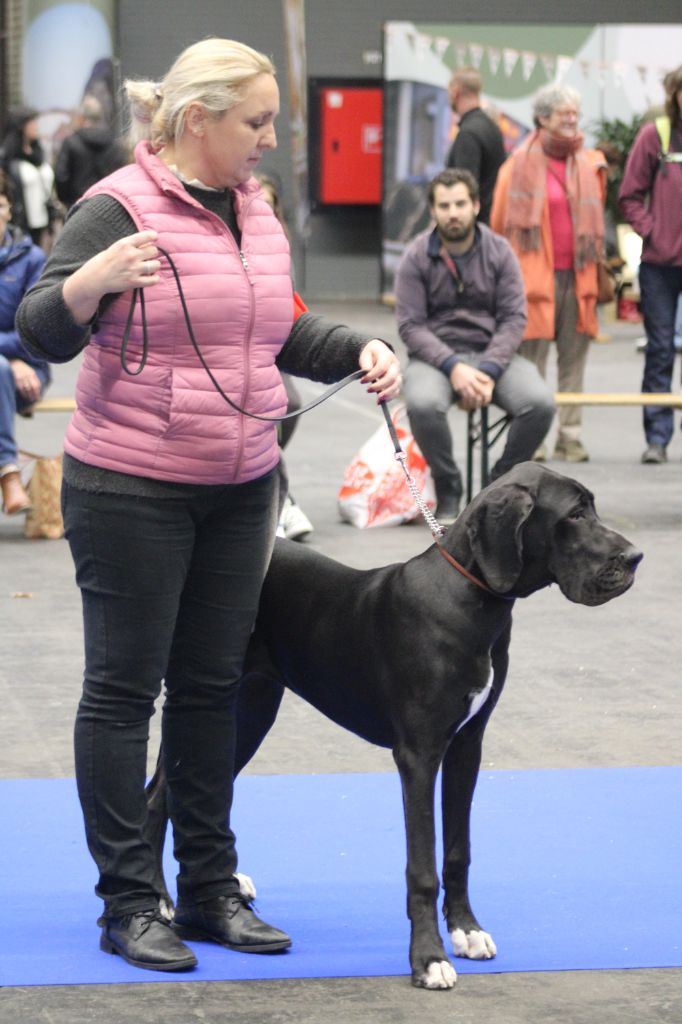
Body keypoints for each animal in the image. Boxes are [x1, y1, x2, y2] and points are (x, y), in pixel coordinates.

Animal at [143, 462, 638, 983]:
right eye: (576, 514)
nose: (635, 557)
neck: (470, 600)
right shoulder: (419, 754)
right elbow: (422, 866)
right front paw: (429, 958)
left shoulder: (467, 747)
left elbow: (457, 851)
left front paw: (466, 930)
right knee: (156, 798)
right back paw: (161, 900)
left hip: (249, 709)